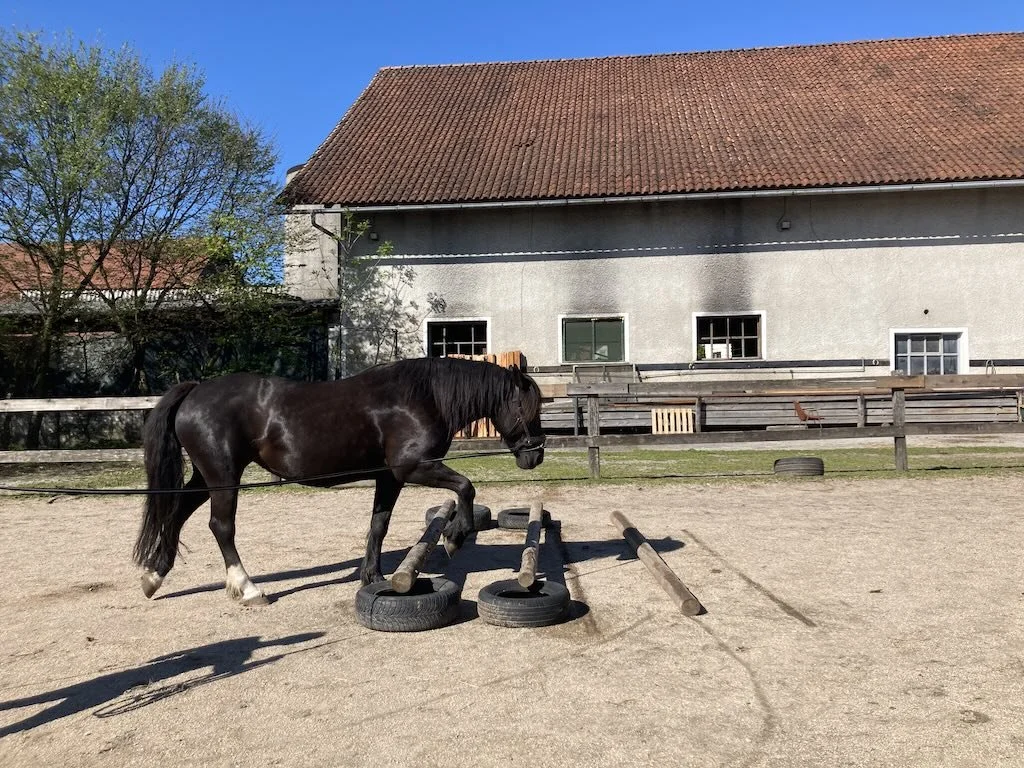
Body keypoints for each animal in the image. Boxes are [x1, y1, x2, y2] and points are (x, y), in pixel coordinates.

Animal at [132, 356, 546, 605]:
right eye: (525, 408)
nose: (536, 454)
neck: (421, 397)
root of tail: (195, 390)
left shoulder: (389, 478)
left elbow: (379, 524)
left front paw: (372, 576)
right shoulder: (413, 468)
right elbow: (465, 487)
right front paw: (455, 537)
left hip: (206, 476)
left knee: (176, 514)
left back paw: (153, 576)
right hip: (223, 476)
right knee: (221, 526)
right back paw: (248, 588)